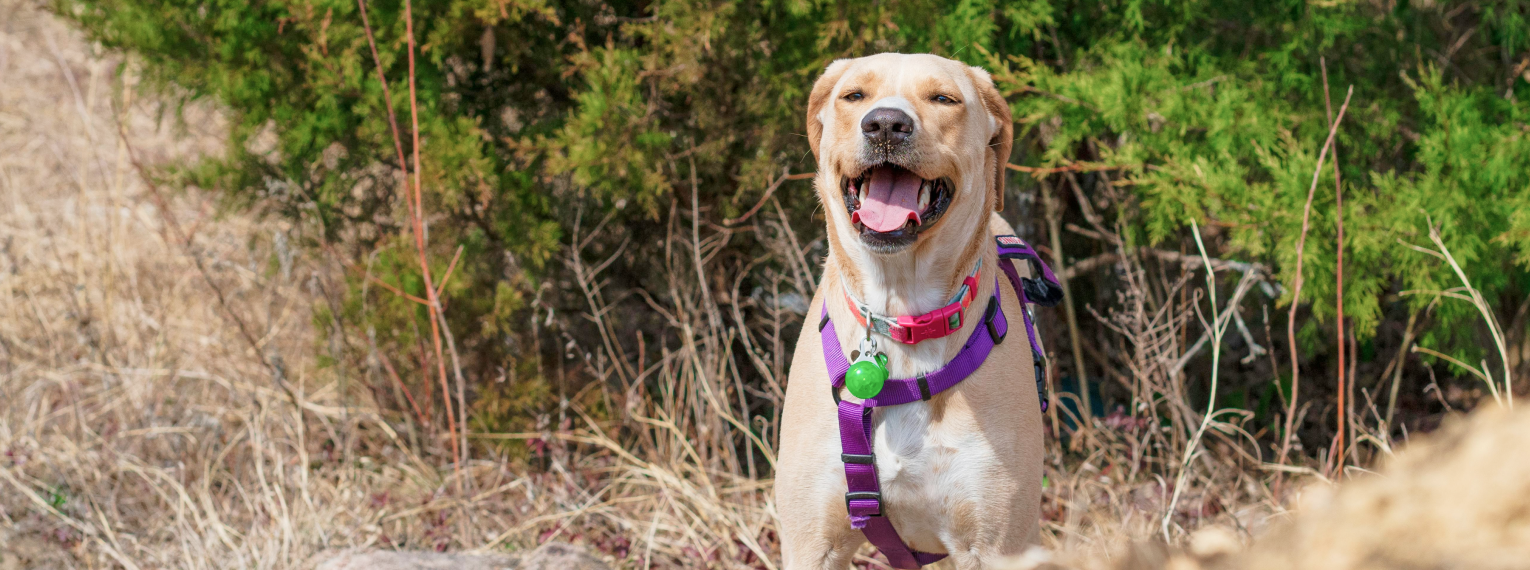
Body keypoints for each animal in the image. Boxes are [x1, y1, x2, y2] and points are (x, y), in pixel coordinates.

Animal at [777, 54, 1052, 568]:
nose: (886, 123)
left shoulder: (996, 543)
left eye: (943, 98)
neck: (900, 314)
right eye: (854, 96)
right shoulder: (811, 543)